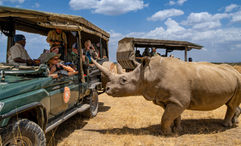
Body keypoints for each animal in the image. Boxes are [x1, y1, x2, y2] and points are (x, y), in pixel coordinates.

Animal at [91, 56, 240, 135]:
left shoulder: (178, 101)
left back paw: (225, 125)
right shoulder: (170, 100)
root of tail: (236, 71)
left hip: (238, 80)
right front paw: (177, 130)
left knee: (231, 105)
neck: (148, 74)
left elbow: (165, 117)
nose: (107, 89)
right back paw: (234, 122)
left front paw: (166, 133)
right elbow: (174, 116)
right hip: (231, 79)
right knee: (231, 103)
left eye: (123, 80)